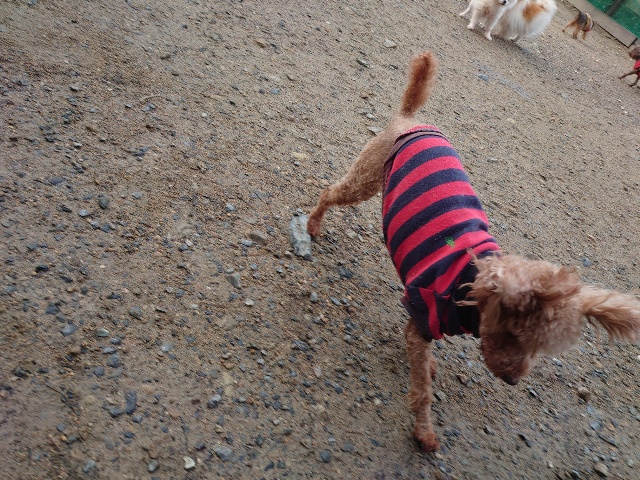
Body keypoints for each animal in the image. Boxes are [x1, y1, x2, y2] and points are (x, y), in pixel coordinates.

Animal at [307, 51, 640, 452]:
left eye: (541, 348)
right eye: (515, 336)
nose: (513, 381)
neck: (470, 288)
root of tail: (410, 118)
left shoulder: (420, 324)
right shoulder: (422, 315)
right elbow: (422, 391)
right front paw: (424, 432)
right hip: (366, 177)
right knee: (330, 191)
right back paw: (312, 225)